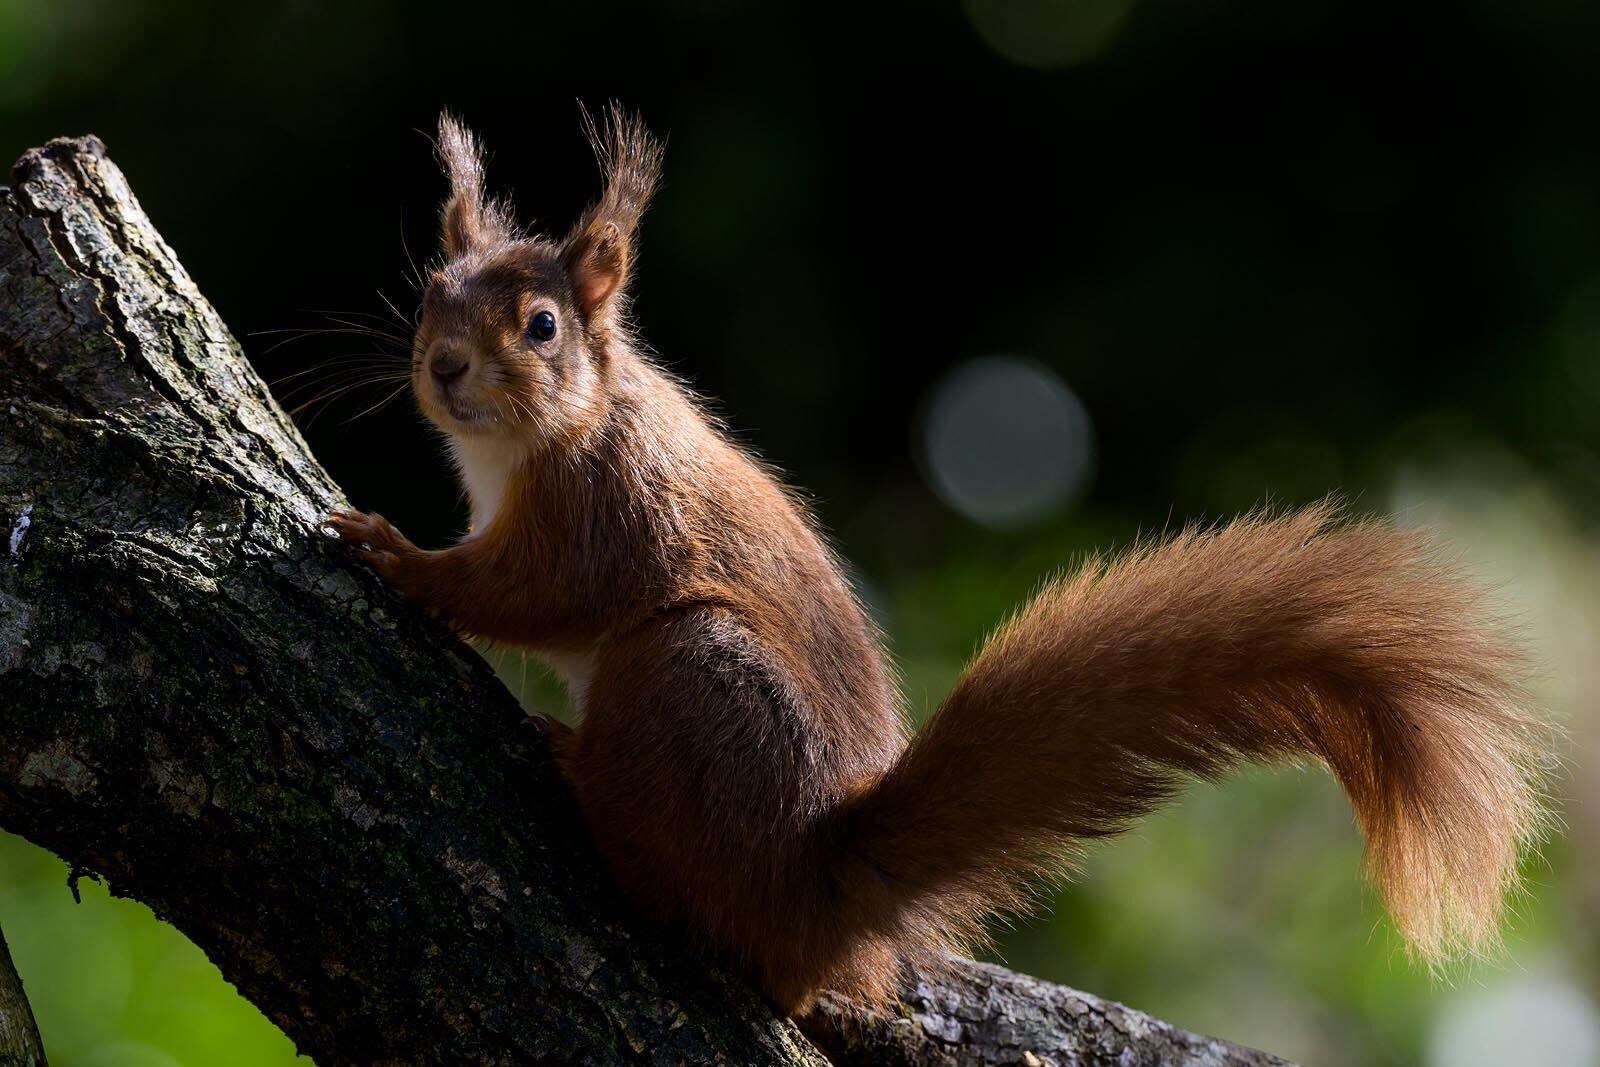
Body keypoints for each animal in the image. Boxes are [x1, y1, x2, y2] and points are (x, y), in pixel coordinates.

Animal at [324, 107, 1548, 1015]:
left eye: (540, 325)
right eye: (431, 294)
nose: (443, 367)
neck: (536, 441)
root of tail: (824, 892)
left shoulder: (603, 508)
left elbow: (533, 590)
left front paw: (396, 552)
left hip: (692, 676)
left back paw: (583, 771)